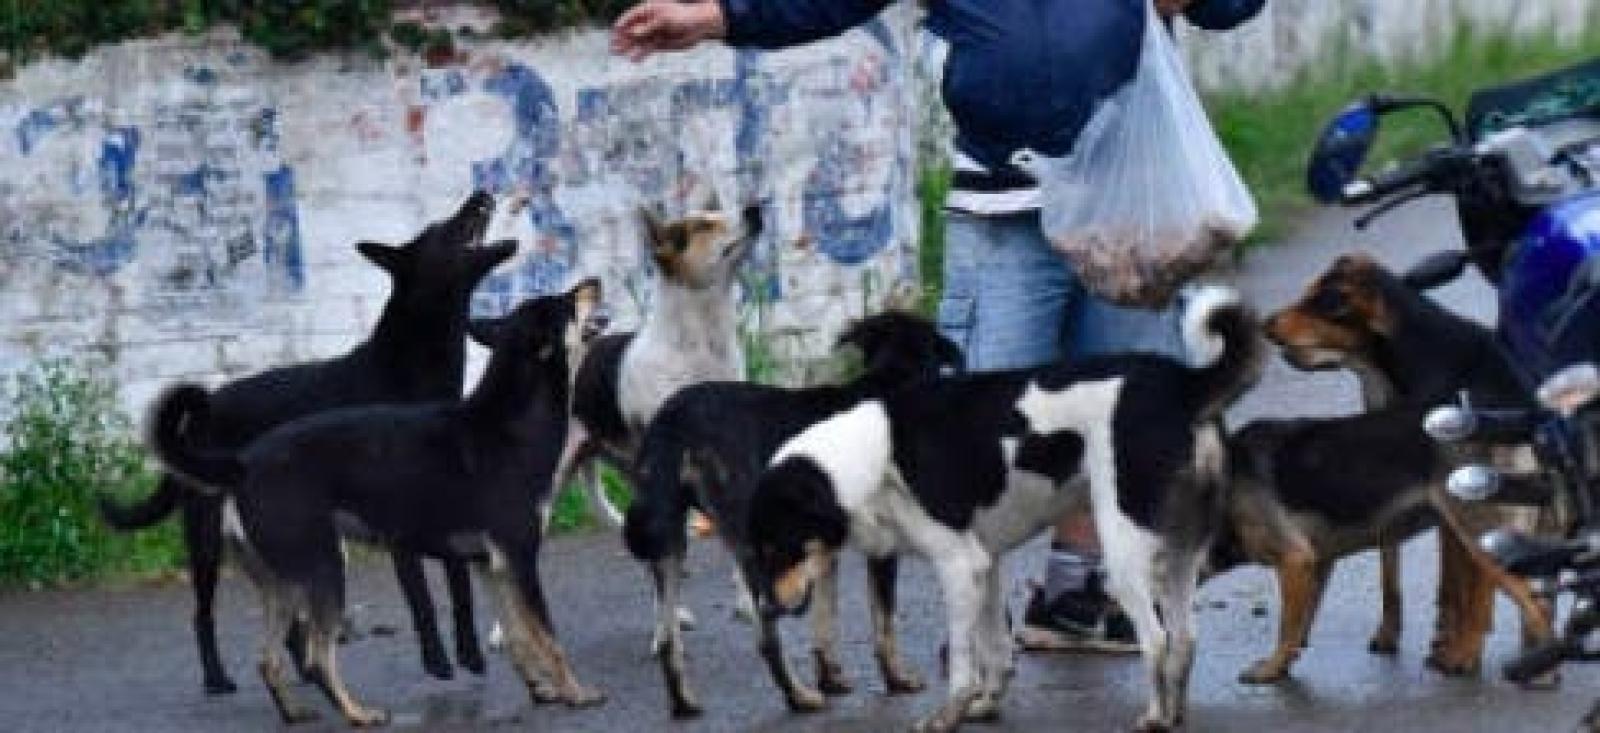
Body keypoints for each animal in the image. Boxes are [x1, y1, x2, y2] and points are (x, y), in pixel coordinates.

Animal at [98, 193, 515, 692]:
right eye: (441, 228)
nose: (483, 194)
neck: (413, 369)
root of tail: (200, 415)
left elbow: (460, 590)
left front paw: (470, 654)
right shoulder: (398, 527)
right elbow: (422, 601)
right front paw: (436, 661)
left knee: (287, 618)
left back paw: (305, 671)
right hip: (208, 538)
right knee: (203, 615)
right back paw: (218, 678)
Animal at [144, 282, 604, 727]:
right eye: (567, 303)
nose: (594, 283)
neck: (510, 423)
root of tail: (242, 465)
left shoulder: (489, 566)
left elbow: (518, 636)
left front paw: (540, 690)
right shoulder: (520, 560)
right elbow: (547, 636)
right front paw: (577, 693)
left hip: (282, 587)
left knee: (269, 660)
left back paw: (295, 713)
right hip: (325, 570)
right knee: (317, 657)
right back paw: (358, 714)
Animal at [623, 311, 962, 718]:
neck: (889, 378)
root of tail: (674, 422)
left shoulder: (820, 545)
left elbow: (825, 618)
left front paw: (831, 677)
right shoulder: (880, 546)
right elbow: (884, 621)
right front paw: (896, 679)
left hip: (669, 539)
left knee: (668, 638)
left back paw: (684, 703)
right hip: (752, 545)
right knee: (766, 634)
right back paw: (798, 696)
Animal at [744, 286, 1263, 732]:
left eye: (777, 546)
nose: (764, 609)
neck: (871, 454)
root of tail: (1185, 383)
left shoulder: (958, 566)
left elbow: (962, 659)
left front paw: (947, 715)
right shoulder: (985, 564)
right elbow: (994, 648)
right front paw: (986, 706)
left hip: (1123, 549)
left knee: (1156, 641)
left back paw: (1154, 716)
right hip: (1181, 552)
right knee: (1185, 640)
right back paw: (1174, 714)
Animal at [1264, 252, 1554, 676]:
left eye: (1327, 302)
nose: (1264, 325)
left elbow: (1468, 585)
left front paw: (1463, 650)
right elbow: (1406, 572)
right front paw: (1406, 635)